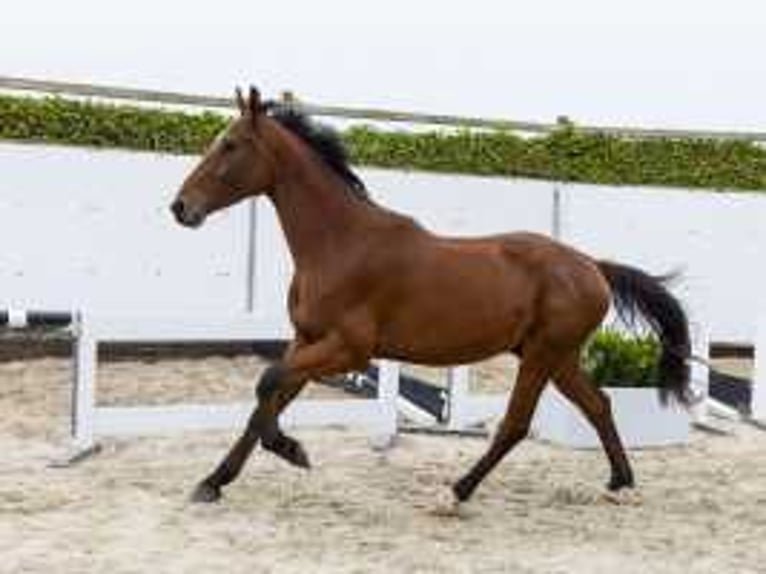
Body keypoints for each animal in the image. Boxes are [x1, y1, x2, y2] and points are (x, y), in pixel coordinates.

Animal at [171, 88, 692, 506]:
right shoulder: (308, 340)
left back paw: (458, 492)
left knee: (517, 423)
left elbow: (266, 385)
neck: (341, 243)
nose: (180, 207)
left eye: (230, 145)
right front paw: (213, 482)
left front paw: (292, 450)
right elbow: (268, 401)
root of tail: (593, 266)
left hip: (543, 355)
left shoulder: (349, 350)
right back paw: (620, 482)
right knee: (598, 404)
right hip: (556, 356)